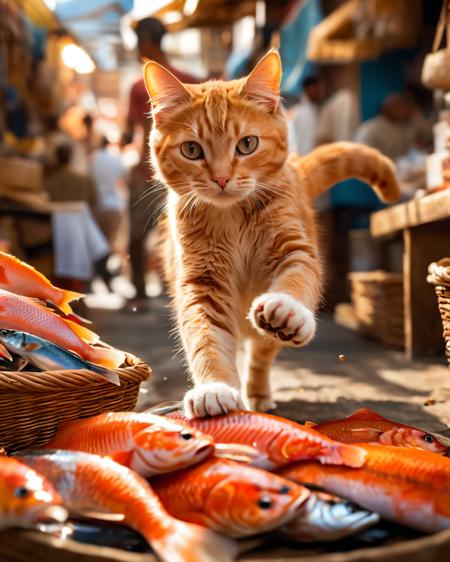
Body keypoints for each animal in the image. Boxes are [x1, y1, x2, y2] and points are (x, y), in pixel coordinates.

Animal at [142, 50, 400, 416]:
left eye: (247, 144)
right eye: (192, 150)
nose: (221, 178)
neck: (233, 218)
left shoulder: (295, 249)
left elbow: (296, 278)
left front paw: (287, 310)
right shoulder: (201, 283)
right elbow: (207, 339)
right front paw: (215, 389)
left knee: (261, 355)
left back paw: (260, 392)